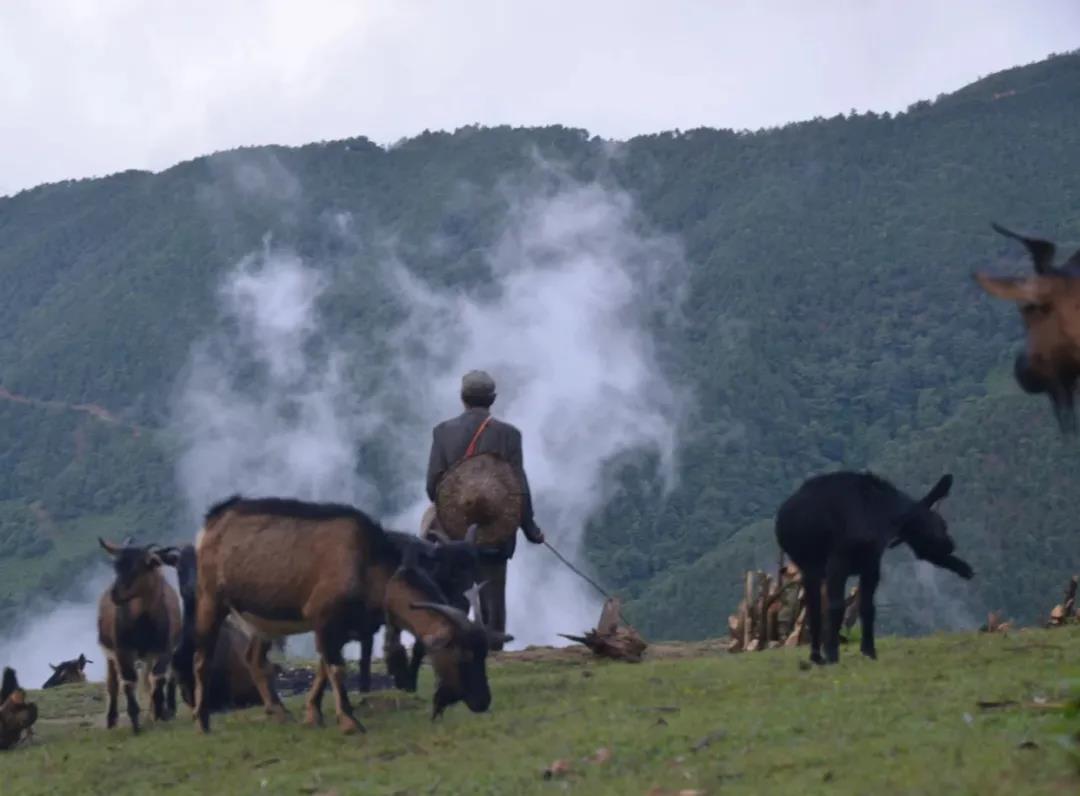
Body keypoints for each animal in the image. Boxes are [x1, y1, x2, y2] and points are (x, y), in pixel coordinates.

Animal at [97, 533, 183, 734]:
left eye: (139, 568)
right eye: (116, 566)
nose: (115, 594)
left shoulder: (164, 649)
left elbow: (157, 678)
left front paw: (159, 713)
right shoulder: (122, 651)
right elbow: (128, 681)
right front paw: (135, 722)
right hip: (110, 652)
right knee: (113, 683)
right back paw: (111, 720)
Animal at [191, 496, 509, 734]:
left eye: (483, 653)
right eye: (461, 654)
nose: (482, 701)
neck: (368, 565)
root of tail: (212, 521)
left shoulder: (342, 628)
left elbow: (323, 667)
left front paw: (313, 715)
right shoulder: (324, 618)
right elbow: (336, 668)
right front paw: (348, 721)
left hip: (263, 619)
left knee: (254, 658)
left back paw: (279, 712)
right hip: (211, 599)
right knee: (201, 657)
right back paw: (202, 721)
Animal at [777, 470, 972, 665]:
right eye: (942, 523)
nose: (950, 545)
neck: (884, 517)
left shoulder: (871, 564)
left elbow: (868, 608)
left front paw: (869, 651)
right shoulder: (837, 563)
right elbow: (836, 607)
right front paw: (833, 654)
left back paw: (816, 654)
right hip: (810, 566)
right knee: (815, 608)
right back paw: (818, 655)